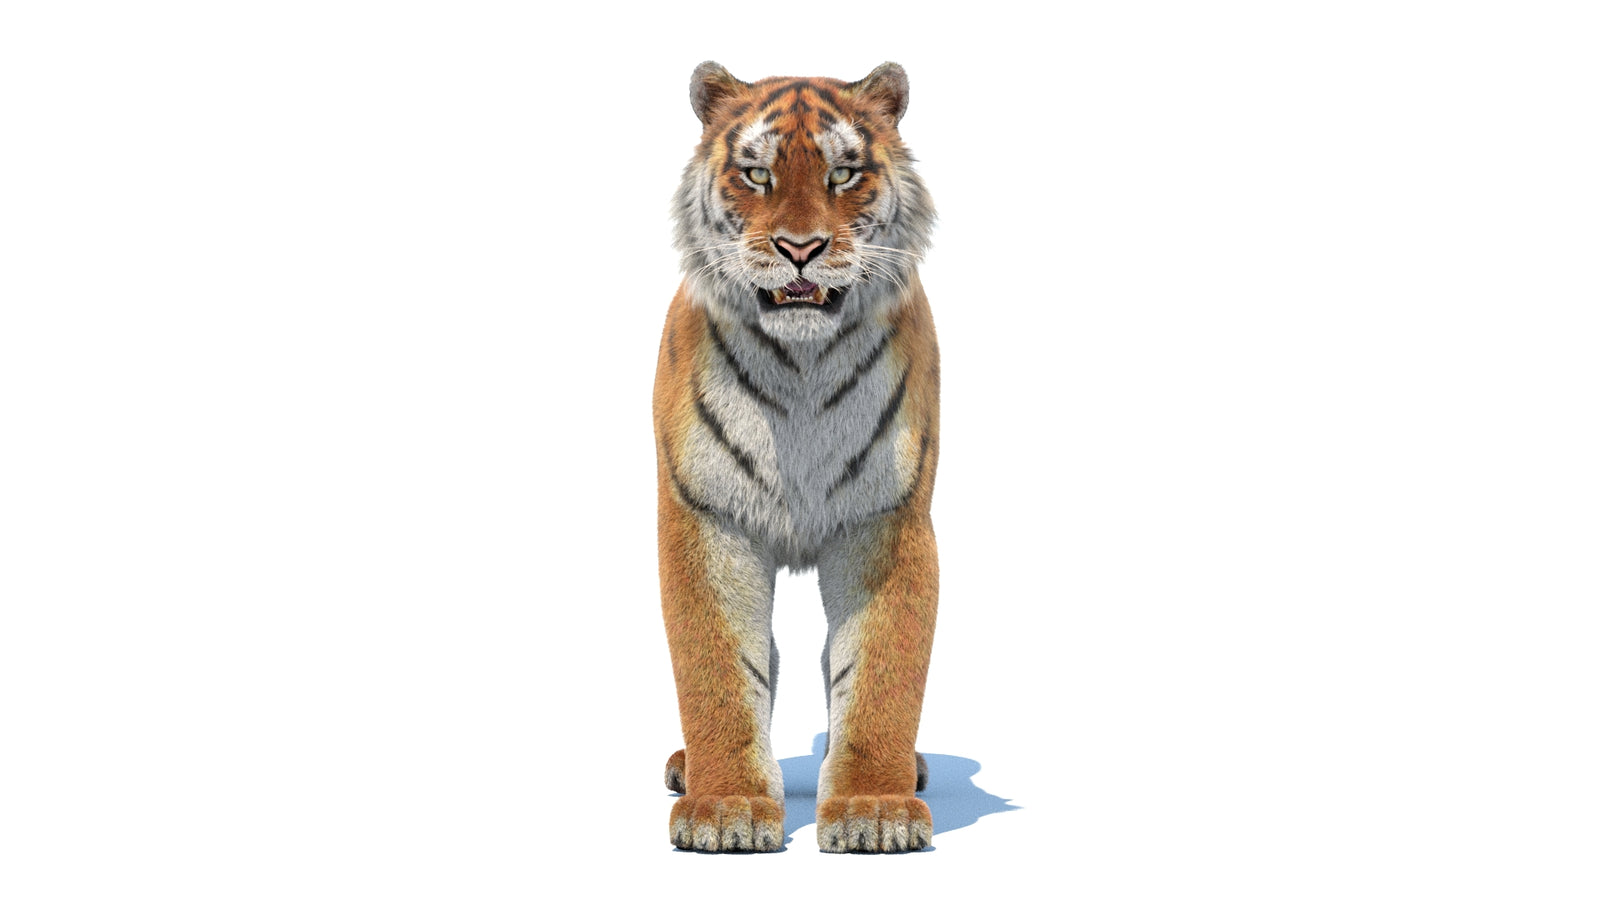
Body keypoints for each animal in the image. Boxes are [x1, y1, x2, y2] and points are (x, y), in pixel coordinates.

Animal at [653, 61, 940, 854]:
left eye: (844, 173)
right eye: (757, 173)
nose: (801, 248)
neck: (801, 368)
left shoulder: (887, 521)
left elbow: (879, 674)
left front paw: (876, 807)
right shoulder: (707, 518)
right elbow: (720, 670)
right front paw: (726, 808)